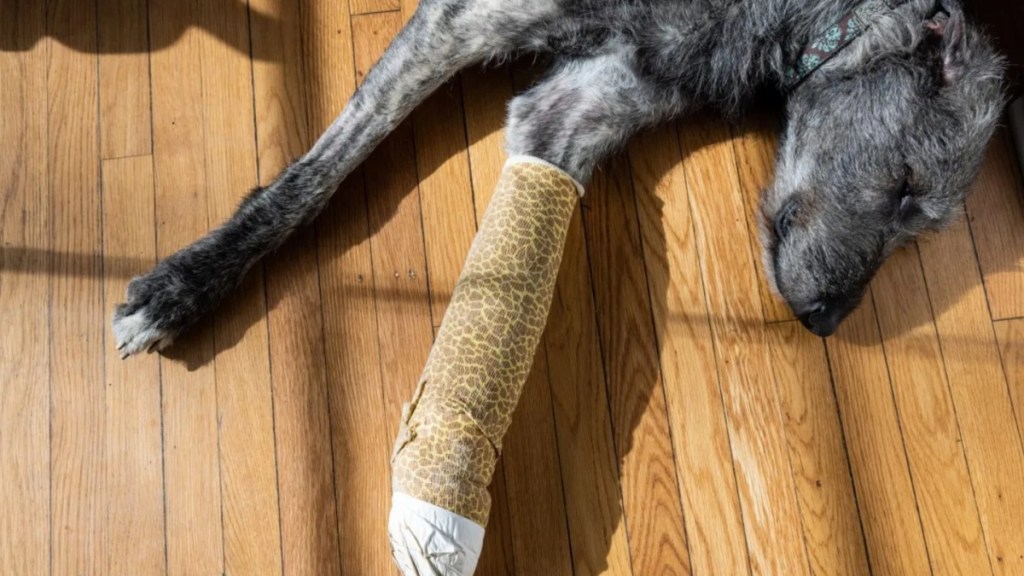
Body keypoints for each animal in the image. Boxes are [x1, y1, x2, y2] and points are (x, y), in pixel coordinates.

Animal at [110, 0, 999, 354]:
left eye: (918, 225)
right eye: (907, 187)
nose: (826, 323)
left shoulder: (575, 107)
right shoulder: (465, 18)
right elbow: (318, 176)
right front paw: (187, 283)